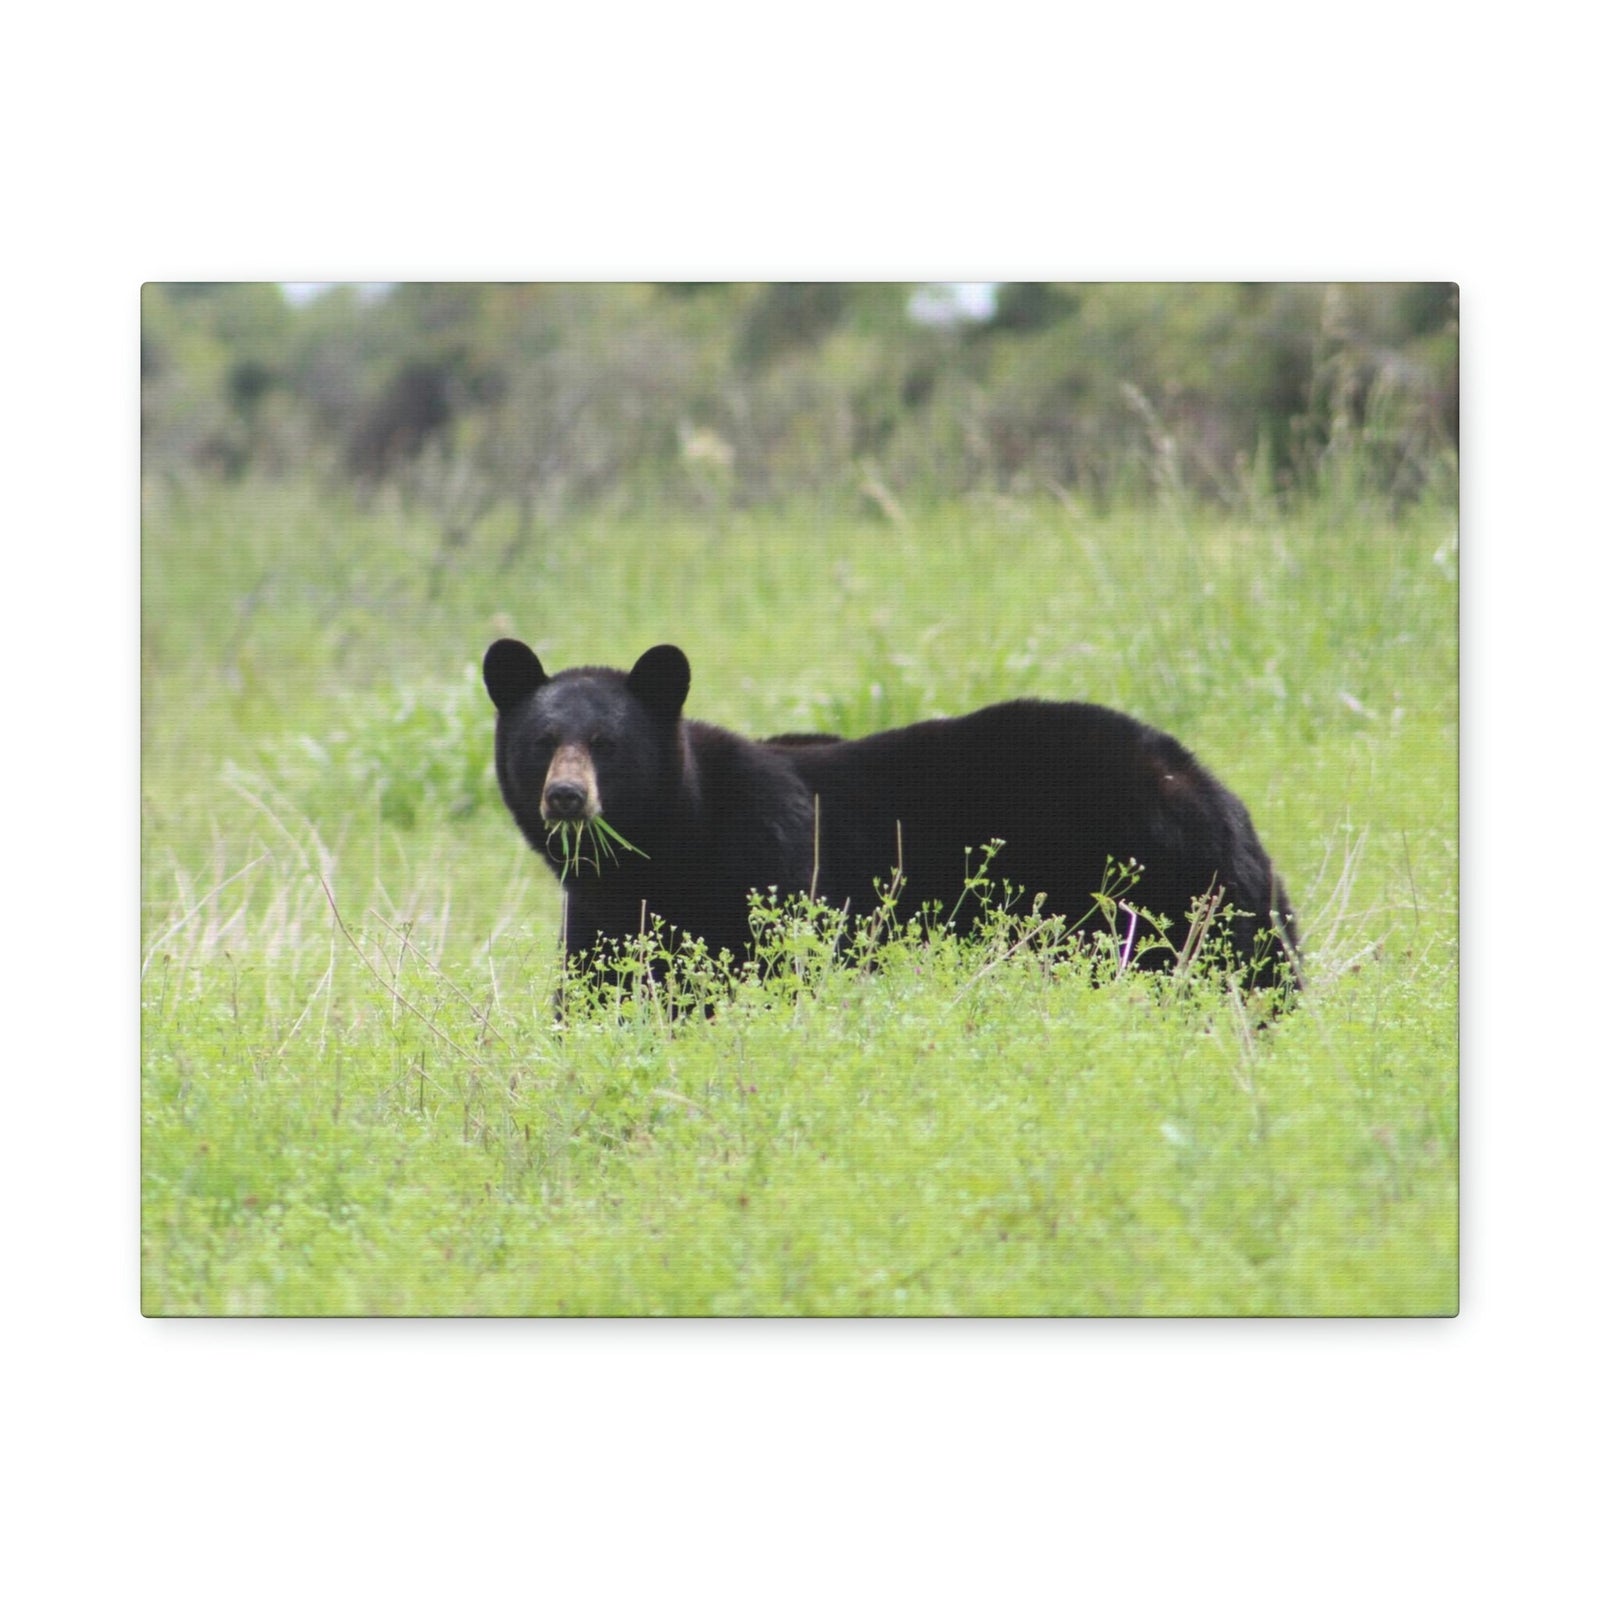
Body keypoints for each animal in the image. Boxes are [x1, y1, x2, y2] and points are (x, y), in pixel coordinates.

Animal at [482, 639, 1300, 991]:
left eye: (607, 743)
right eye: (543, 740)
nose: (566, 796)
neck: (671, 845)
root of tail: (1213, 791)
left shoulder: (770, 864)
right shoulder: (603, 912)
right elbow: (603, 990)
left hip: (1154, 887)